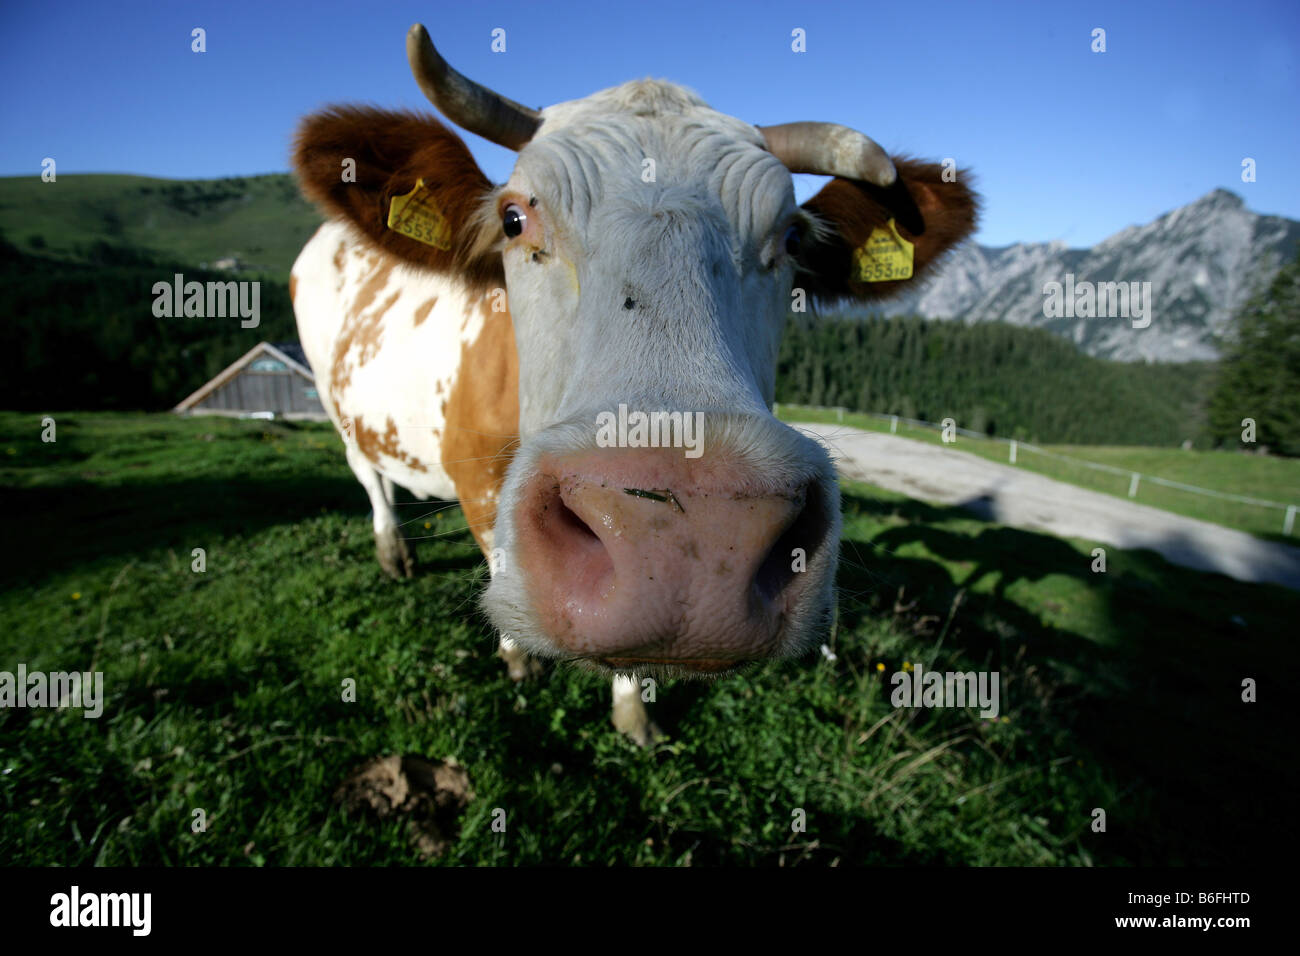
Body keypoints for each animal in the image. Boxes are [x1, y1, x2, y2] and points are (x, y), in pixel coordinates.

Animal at [287, 20, 977, 738]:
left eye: (792, 239)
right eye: (513, 218)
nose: (692, 539)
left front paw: (634, 713)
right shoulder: (474, 480)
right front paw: (519, 661)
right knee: (367, 473)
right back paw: (393, 552)